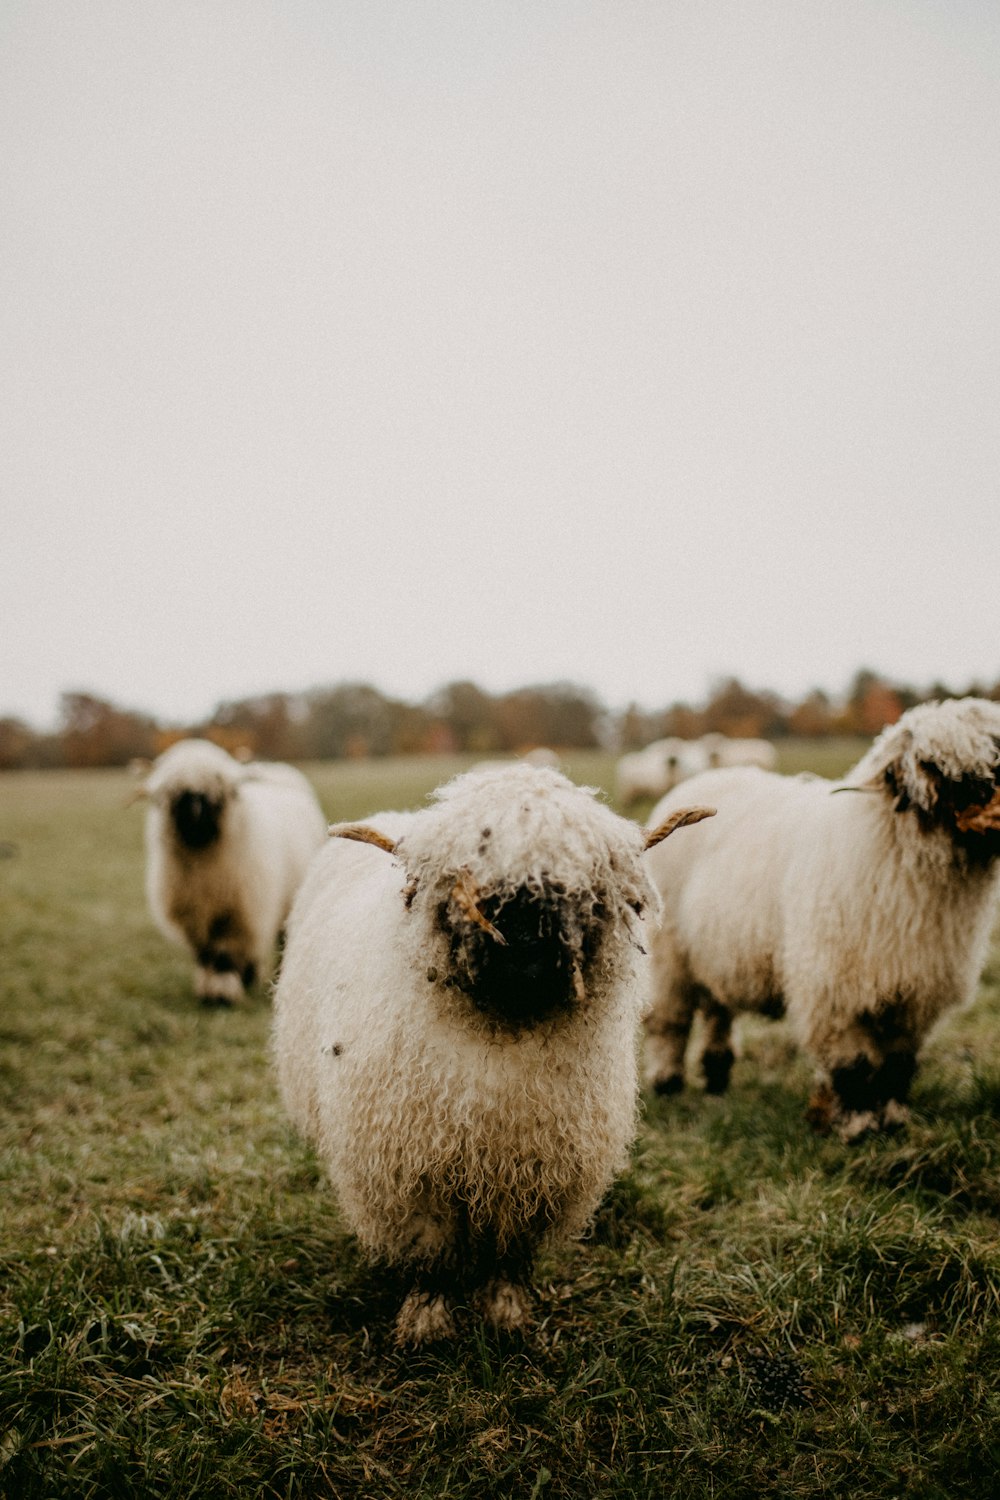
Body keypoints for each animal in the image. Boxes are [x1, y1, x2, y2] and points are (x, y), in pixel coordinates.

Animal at [140, 741, 326, 1008]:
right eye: (174, 796)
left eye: (219, 795)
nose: (194, 819)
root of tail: (275, 771)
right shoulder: (194, 916)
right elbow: (205, 954)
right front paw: (207, 990)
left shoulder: (236, 913)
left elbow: (223, 955)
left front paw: (222, 995)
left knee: (281, 940)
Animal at [269, 768, 716, 1344]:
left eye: (582, 889)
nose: (524, 940)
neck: (505, 1029)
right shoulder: (416, 1177)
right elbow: (431, 1257)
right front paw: (427, 1323)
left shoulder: (536, 1172)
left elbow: (509, 1255)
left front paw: (506, 1316)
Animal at [641, 699, 1000, 1134]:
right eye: (930, 763)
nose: (987, 793)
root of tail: (703, 777)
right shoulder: (833, 989)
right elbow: (853, 1066)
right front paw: (858, 1125)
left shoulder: (915, 992)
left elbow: (897, 1064)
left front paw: (893, 1118)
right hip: (668, 956)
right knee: (669, 1023)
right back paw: (668, 1083)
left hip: (714, 951)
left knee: (716, 1011)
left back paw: (716, 1077)